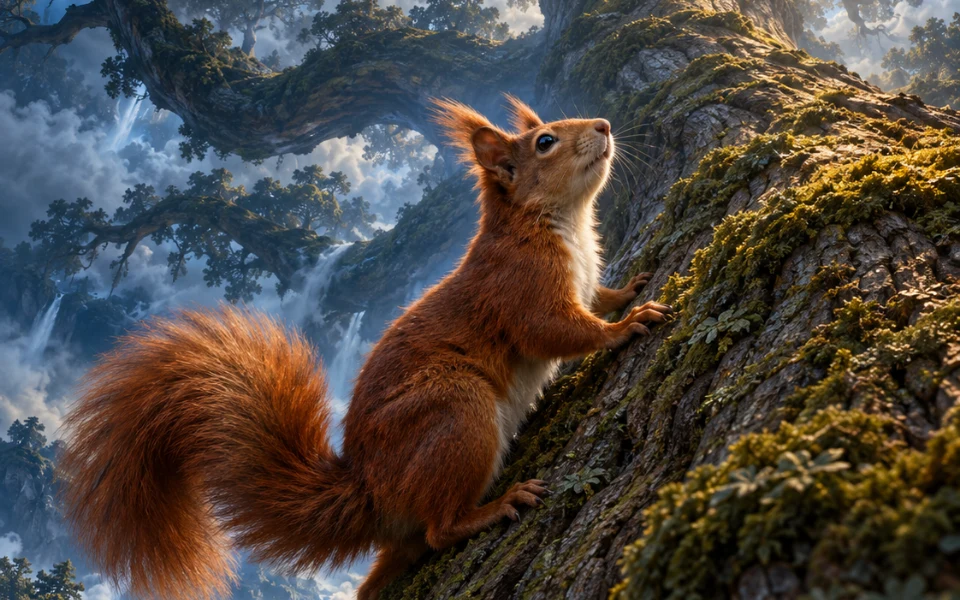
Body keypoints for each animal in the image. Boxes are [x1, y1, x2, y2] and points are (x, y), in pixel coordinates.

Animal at [58, 96, 672, 600]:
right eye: (545, 141)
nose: (605, 125)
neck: (559, 222)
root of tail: (373, 492)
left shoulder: (581, 279)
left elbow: (598, 296)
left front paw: (629, 291)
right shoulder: (520, 290)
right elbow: (561, 332)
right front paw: (627, 325)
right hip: (455, 410)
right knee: (439, 527)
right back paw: (496, 506)